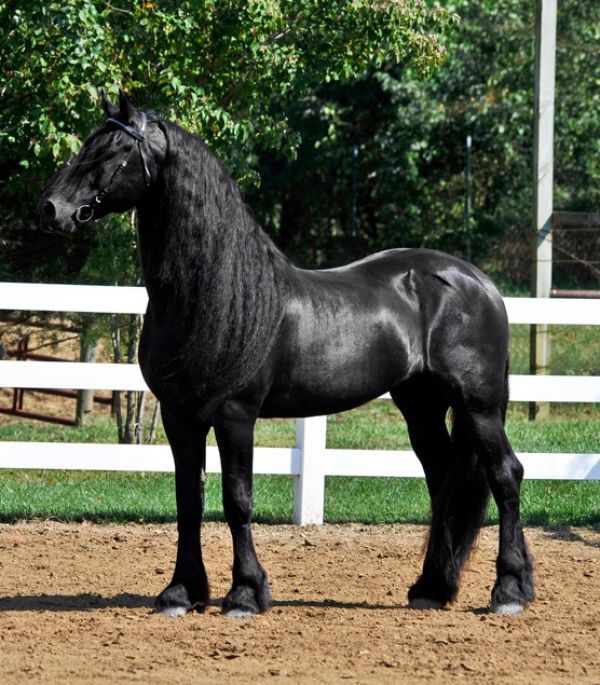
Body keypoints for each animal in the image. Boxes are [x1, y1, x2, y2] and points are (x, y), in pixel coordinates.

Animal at [39, 91, 534, 618]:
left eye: (112, 153)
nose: (50, 208)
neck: (213, 294)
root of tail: (478, 282)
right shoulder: (179, 415)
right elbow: (188, 499)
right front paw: (181, 592)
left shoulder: (235, 415)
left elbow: (237, 500)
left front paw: (245, 594)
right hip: (420, 404)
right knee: (443, 480)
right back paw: (432, 588)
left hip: (477, 405)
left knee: (506, 476)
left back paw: (509, 591)